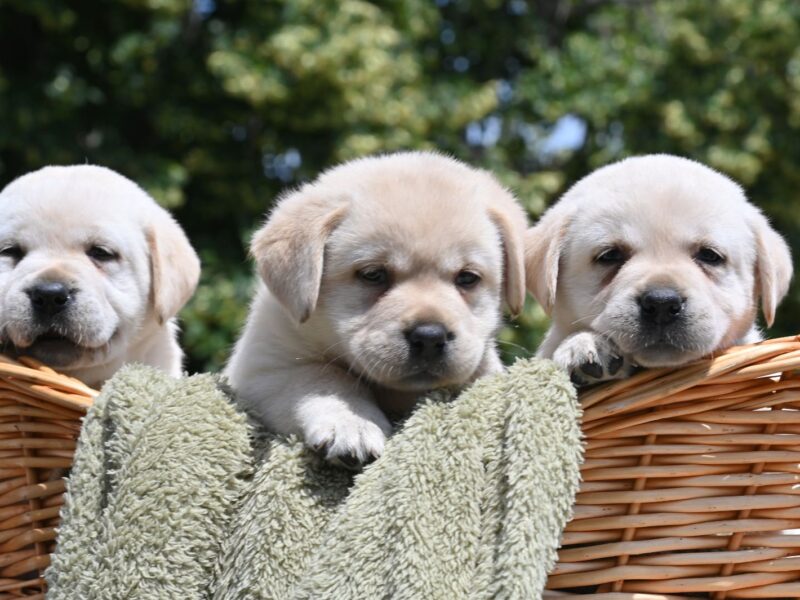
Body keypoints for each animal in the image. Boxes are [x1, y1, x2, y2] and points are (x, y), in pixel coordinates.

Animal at [225, 152, 528, 466]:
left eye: (467, 278)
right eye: (373, 274)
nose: (430, 337)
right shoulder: (262, 370)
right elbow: (324, 376)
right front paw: (352, 424)